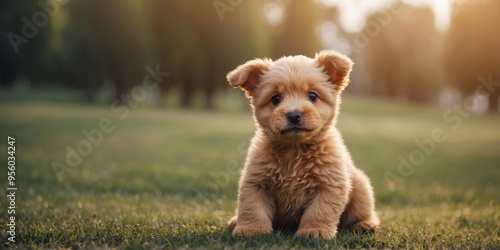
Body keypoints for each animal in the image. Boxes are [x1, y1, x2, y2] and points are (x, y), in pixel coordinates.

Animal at [227, 49, 378, 239]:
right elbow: (252, 207)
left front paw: (315, 231)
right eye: (275, 98)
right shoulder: (256, 182)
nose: (294, 115)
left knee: (363, 211)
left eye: (312, 95)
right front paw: (252, 229)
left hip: (361, 187)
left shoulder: (329, 185)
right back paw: (234, 220)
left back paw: (366, 224)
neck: (294, 150)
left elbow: (319, 211)